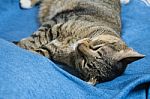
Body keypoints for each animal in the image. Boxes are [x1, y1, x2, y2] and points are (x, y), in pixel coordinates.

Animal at [15, 0, 145, 85]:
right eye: (97, 47)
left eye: (85, 62)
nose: (80, 46)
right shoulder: (56, 25)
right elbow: (34, 39)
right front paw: (19, 44)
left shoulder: (51, 48)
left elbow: (38, 51)